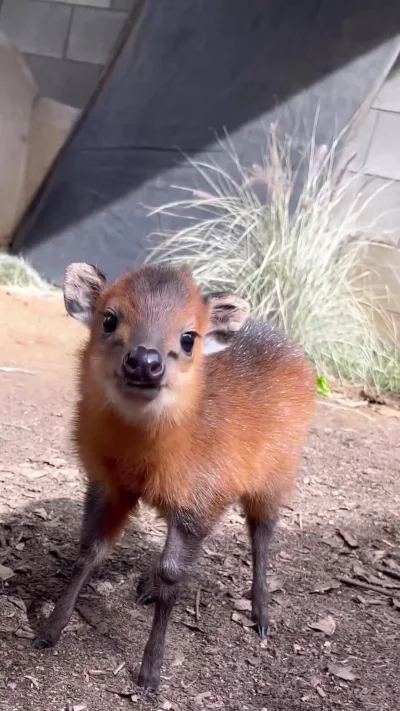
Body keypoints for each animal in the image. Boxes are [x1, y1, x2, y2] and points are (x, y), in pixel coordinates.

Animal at [35, 264, 316, 692]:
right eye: (109, 319)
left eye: (188, 338)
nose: (144, 361)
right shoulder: (109, 486)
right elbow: (89, 551)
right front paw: (50, 630)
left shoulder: (199, 502)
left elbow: (173, 576)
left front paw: (151, 671)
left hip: (277, 473)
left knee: (262, 537)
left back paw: (262, 614)